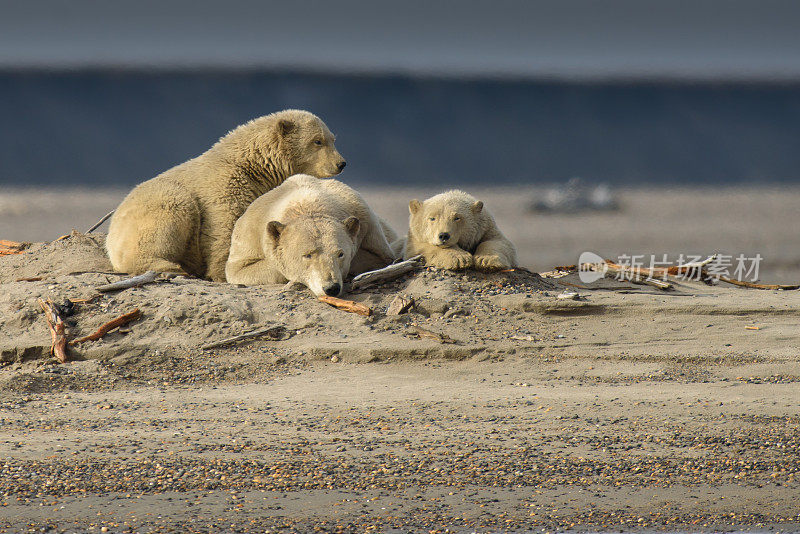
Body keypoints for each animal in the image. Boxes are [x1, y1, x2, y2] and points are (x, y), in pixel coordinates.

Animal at [106, 109, 344, 284]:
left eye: (332, 138)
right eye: (317, 141)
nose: (341, 163)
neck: (254, 166)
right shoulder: (225, 188)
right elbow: (224, 229)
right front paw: (221, 273)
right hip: (161, 204)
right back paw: (171, 266)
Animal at [225, 175, 396, 298]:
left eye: (340, 254)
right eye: (307, 255)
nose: (331, 288)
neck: (307, 203)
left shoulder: (366, 218)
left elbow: (382, 256)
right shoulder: (249, 233)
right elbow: (240, 269)